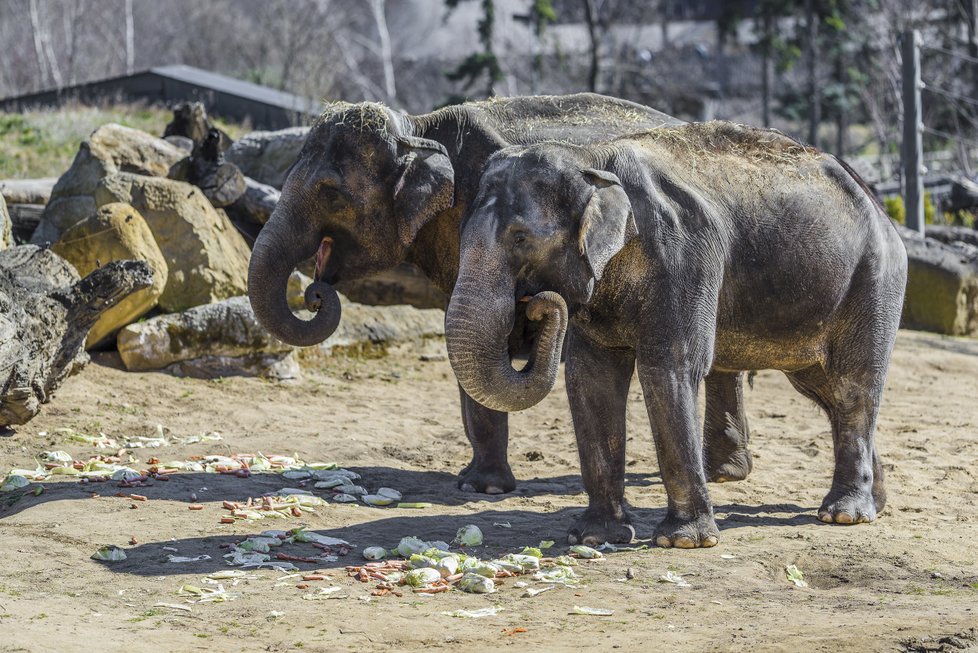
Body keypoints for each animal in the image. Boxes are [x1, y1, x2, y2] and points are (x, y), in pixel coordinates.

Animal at [248, 94, 752, 494]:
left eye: (329, 192)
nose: (315, 293)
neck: (420, 127)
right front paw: (475, 482)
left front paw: (484, 488)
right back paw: (725, 471)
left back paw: (722, 473)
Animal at [442, 121, 908, 544]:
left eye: (520, 237)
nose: (536, 302)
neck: (591, 158)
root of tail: (878, 205)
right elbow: (590, 378)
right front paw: (593, 537)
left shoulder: (683, 256)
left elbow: (668, 370)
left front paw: (684, 541)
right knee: (823, 390)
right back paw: (876, 503)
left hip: (874, 282)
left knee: (851, 387)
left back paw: (844, 515)